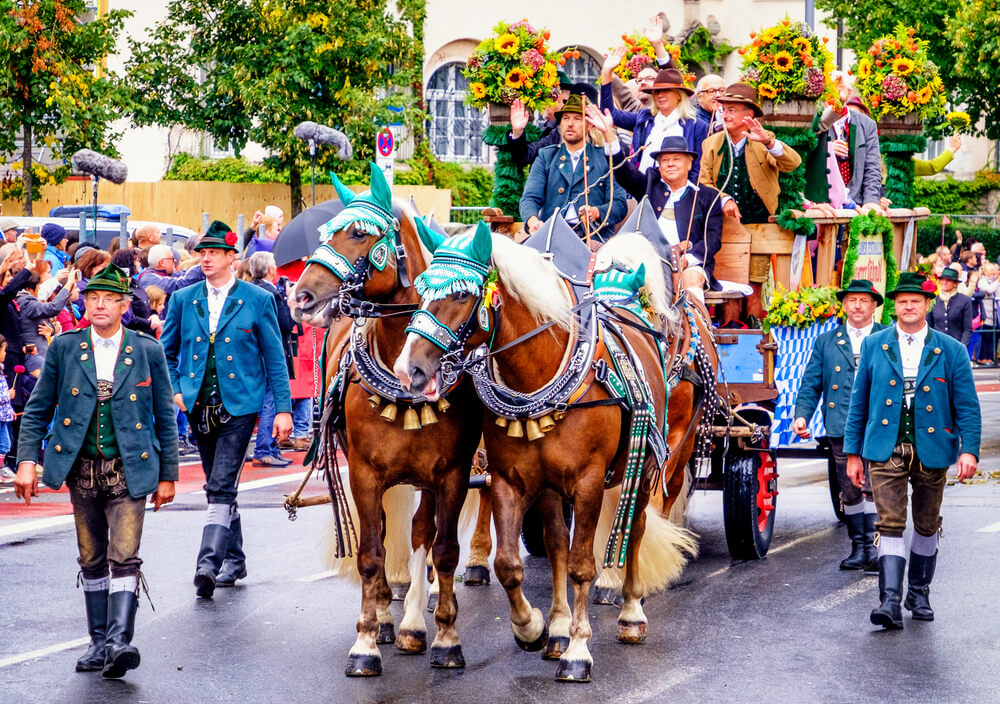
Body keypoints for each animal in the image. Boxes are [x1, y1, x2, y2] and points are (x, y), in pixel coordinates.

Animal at [290, 166, 480, 676]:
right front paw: (367, 640)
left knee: (421, 534)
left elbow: (442, 549)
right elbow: (372, 552)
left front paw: (447, 637)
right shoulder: (365, 472)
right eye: (324, 232)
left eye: (359, 233)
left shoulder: (450, 473)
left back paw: (415, 621)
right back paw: (390, 620)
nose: (299, 296)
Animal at [394, 224, 700, 680]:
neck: (539, 373)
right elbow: (510, 563)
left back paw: (630, 612)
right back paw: (556, 629)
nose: (407, 368)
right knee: (556, 540)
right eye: (422, 290)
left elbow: (581, 565)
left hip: (645, 470)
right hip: (552, 486)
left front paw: (578, 651)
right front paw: (532, 628)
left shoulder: (590, 483)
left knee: (637, 528)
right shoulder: (509, 479)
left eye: (462, 294)